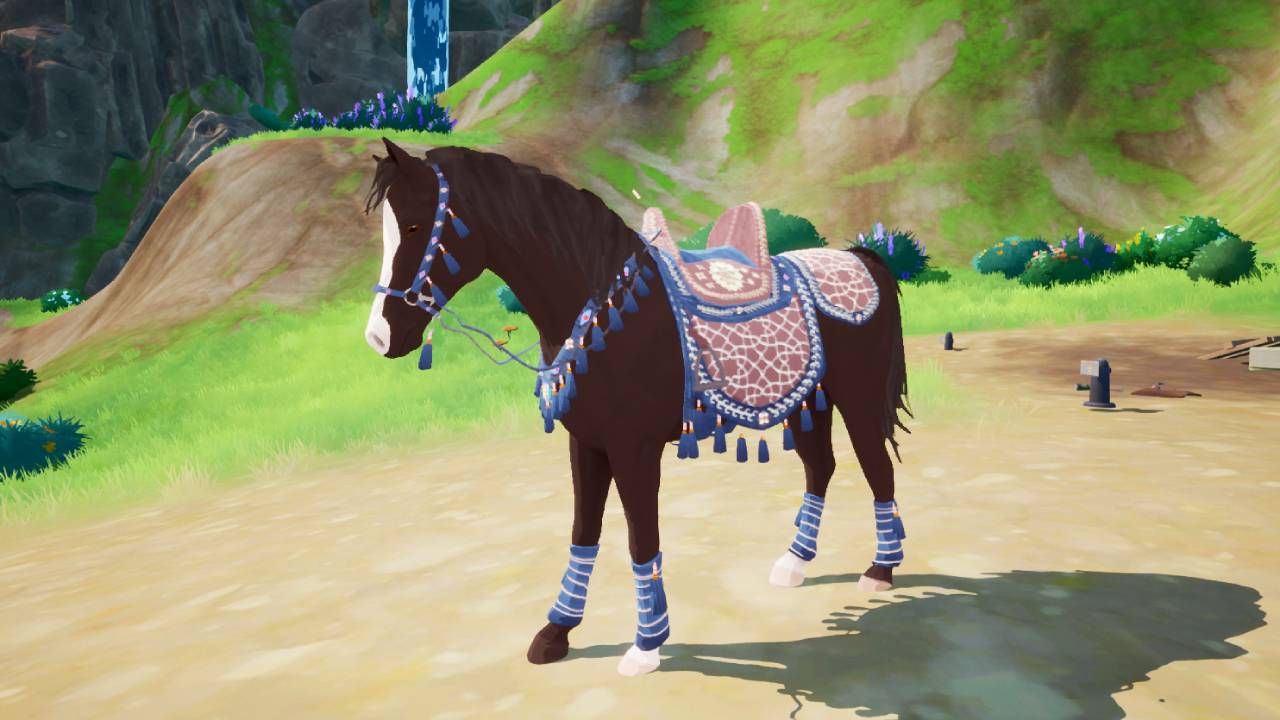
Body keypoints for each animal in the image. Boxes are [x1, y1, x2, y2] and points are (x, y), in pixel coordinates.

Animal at [361, 139, 910, 676]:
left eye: (414, 225)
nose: (379, 337)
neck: (600, 307)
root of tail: (859, 258)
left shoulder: (634, 449)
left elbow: (640, 540)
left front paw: (646, 646)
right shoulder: (587, 443)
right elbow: (584, 532)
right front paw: (556, 632)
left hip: (857, 399)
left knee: (877, 468)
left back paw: (880, 570)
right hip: (807, 401)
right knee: (822, 466)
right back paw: (794, 564)